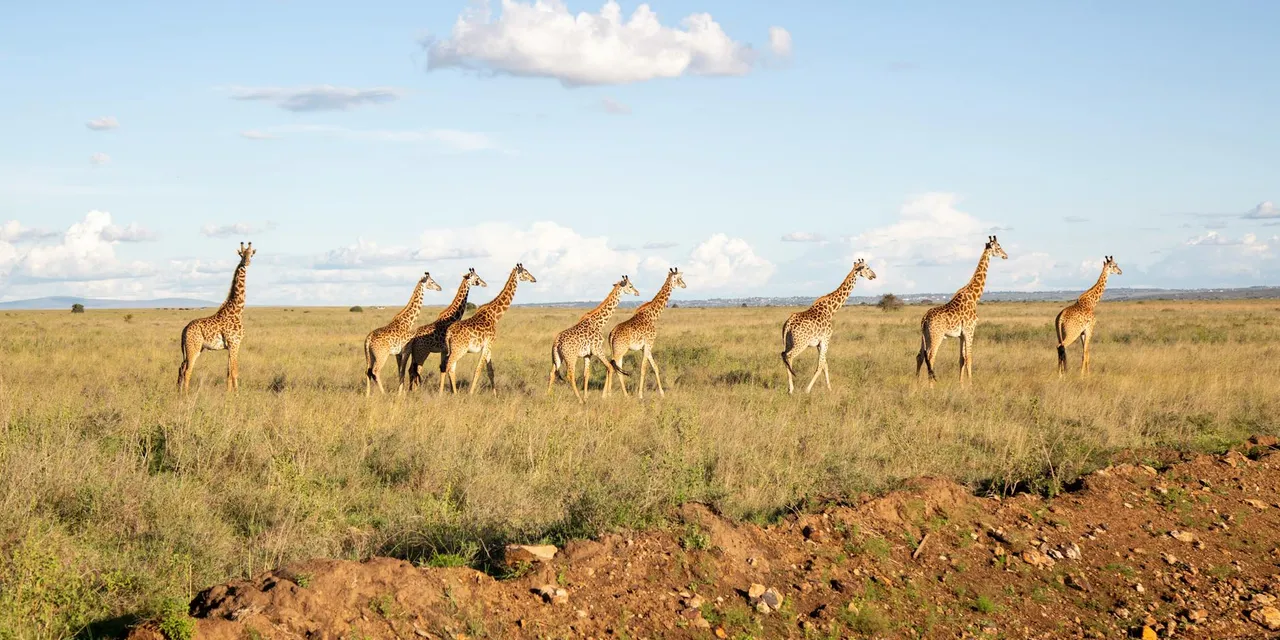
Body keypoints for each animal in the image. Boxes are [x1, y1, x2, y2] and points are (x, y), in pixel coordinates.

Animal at [177, 242, 255, 393]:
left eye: (251, 254)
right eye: (242, 254)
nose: (246, 262)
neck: (237, 310)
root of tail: (184, 330)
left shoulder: (230, 346)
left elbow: (228, 372)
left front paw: (228, 394)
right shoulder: (235, 343)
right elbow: (235, 372)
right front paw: (237, 395)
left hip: (195, 348)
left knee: (181, 367)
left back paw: (178, 392)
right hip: (193, 347)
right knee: (187, 370)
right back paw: (186, 395)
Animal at [438, 263, 537, 395]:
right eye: (525, 273)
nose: (534, 279)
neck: (495, 316)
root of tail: (448, 333)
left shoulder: (489, 346)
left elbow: (491, 371)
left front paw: (495, 395)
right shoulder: (487, 344)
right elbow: (478, 369)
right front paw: (470, 394)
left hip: (453, 349)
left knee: (450, 367)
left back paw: (454, 393)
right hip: (459, 349)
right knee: (447, 366)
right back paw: (442, 394)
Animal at [604, 267, 686, 399]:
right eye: (679, 278)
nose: (684, 285)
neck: (653, 316)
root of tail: (612, 334)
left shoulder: (645, 347)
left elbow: (655, 367)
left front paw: (662, 393)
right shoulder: (649, 343)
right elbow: (643, 368)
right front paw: (640, 394)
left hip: (617, 350)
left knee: (615, 367)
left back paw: (620, 395)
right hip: (620, 350)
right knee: (611, 366)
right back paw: (608, 395)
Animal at [780, 258, 877, 394]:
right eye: (867, 268)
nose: (874, 276)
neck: (831, 310)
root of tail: (788, 323)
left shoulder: (819, 343)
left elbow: (825, 365)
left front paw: (829, 389)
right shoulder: (826, 340)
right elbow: (820, 365)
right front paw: (808, 389)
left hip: (789, 342)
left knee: (785, 356)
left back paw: (790, 387)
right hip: (801, 343)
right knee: (788, 356)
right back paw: (792, 388)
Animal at [916, 235, 1008, 384]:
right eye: (999, 247)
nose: (1006, 255)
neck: (974, 297)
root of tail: (924, 319)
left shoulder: (961, 335)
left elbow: (961, 359)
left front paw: (961, 385)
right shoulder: (970, 330)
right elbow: (969, 358)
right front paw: (971, 385)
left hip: (924, 336)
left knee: (920, 356)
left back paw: (917, 384)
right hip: (937, 335)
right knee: (930, 356)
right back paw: (931, 386)